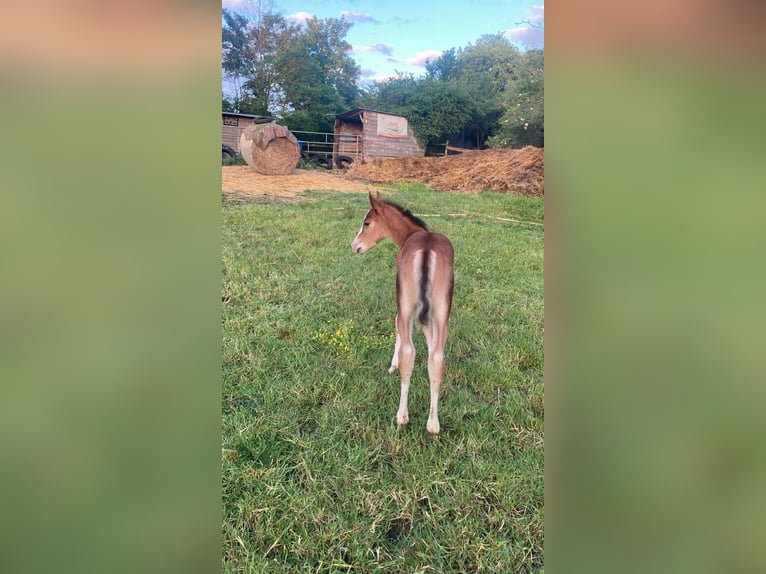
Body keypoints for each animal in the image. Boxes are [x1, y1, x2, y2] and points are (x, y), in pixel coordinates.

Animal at [351, 192, 454, 435]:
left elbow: (396, 324)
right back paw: (433, 424)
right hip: (442, 310)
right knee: (437, 357)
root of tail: (426, 250)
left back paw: (402, 417)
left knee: (409, 352)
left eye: (366, 223)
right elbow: (430, 342)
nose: (354, 246)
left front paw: (393, 364)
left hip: (406, 305)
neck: (411, 234)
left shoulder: (402, 304)